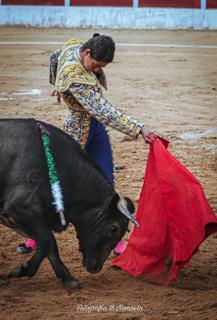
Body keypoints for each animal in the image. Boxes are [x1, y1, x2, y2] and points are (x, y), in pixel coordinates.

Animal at [0, 119, 136, 288]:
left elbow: (50, 245)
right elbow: (47, 240)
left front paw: (67, 278)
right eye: (113, 229)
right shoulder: (20, 209)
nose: (95, 268)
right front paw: (22, 270)